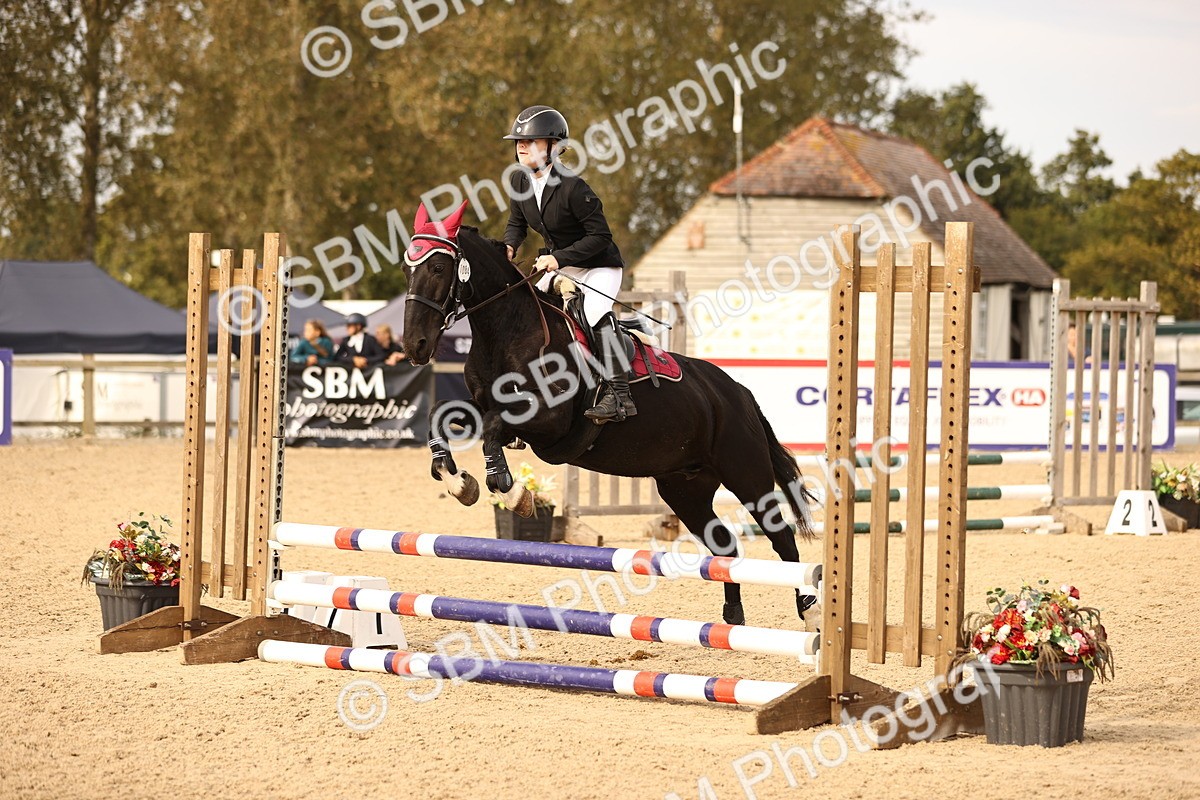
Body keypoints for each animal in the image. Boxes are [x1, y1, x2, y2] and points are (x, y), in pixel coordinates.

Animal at [401, 201, 819, 628]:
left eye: (439, 268)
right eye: (407, 269)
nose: (415, 345)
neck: (508, 333)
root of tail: (738, 392)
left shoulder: (549, 422)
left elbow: (492, 430)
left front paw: (514, 493)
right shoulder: (483, 405)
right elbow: (441, 416)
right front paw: (456, 480)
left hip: (746, 474)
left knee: (783, 539)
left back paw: (809, 610)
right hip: (686, 489)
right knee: (725, 546)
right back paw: (732, 618)